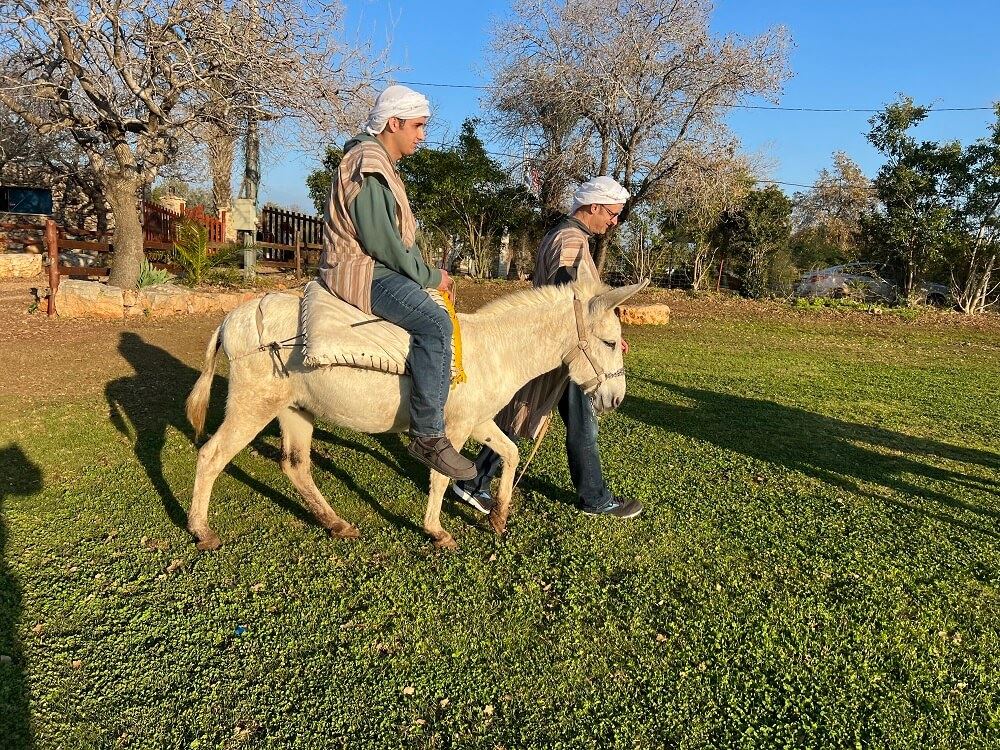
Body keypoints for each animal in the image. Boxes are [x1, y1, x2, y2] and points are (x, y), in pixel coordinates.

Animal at [184, 275, 647, 550]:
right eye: (610, 342)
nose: (615, 400)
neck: (494, 349)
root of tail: (233, 317)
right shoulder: (451, 431)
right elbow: (441, 477)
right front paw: (436, 531)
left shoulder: (479, 422)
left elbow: (511, 454)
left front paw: (498, 517)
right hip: (252, 407)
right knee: (211, 456)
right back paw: (201, 530)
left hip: (296, 410)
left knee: (295, 466)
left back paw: (336, 524)